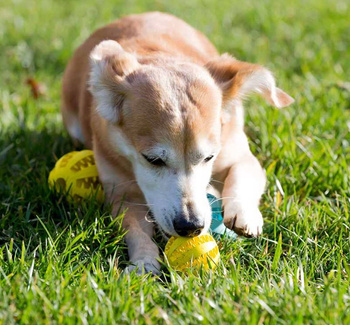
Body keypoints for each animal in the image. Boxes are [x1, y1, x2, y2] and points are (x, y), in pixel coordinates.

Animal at [61, 11, 294, 272]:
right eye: (153, 159)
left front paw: (244, 213)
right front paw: (144, 261)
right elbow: (134, 228)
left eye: (209, 157)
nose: (191, 226)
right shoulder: (122, 193)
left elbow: (243, 172)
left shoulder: (237, 153)